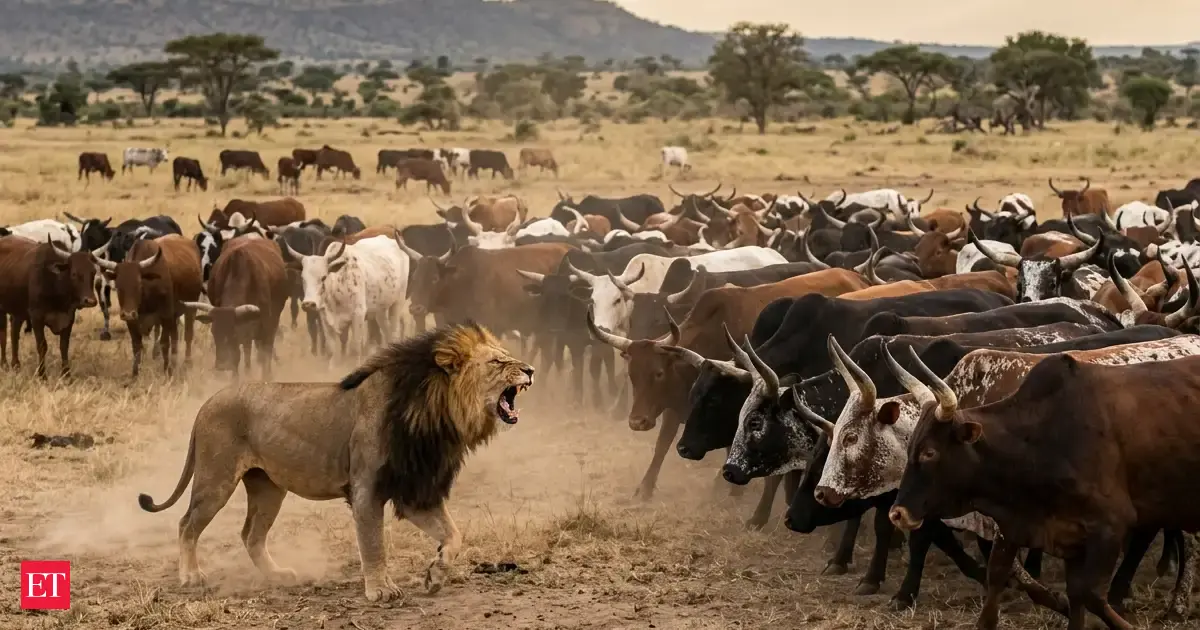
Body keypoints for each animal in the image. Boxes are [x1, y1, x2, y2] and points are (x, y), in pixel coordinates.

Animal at [137, 322, 533, 601]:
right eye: (498, 361)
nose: (529, 370)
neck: (436, 413)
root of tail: (207, 402)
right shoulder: (366, 489)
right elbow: (373, 543)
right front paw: (381, 590)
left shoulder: (414, 491)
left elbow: (454, 535)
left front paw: (434, 575)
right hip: (215, 478)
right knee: (187, 524)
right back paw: (191, 576)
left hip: (268, 488)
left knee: (250, 534)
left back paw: (277, 575)